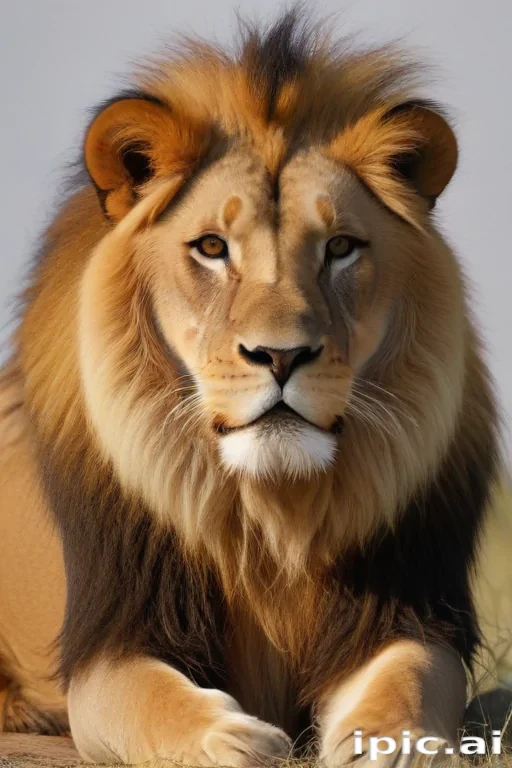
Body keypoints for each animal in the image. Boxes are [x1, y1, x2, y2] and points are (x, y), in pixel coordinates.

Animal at [0, 10, 510, 765]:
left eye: (340, 247)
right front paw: (230, 740)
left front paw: (393, 742)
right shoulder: (111, 638)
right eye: (212, 247)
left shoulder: (406, 611)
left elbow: (408, 679)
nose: (281, 354)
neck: (272, 513)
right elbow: (151, 700)